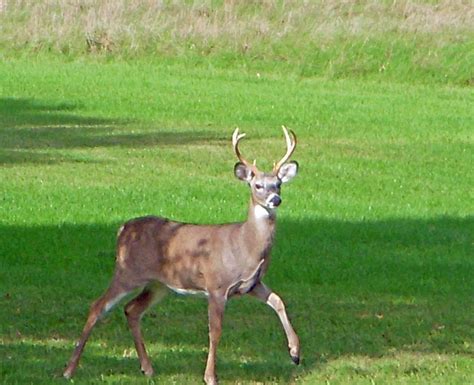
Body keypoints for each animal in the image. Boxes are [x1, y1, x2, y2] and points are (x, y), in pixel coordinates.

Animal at [63, 127, 300, 384]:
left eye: (278, 184)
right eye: (257, 185)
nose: (275, 199)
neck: (245, 246)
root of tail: (123, 229)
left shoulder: (252, 284)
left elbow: (278, 301)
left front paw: (295, 353)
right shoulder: (216, 285)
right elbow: (215, 331)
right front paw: (210, 377)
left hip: (159, 284)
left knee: (132, 309)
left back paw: (148, 368)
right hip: (127, 272)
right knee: (97, 306)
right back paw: (69, 370)